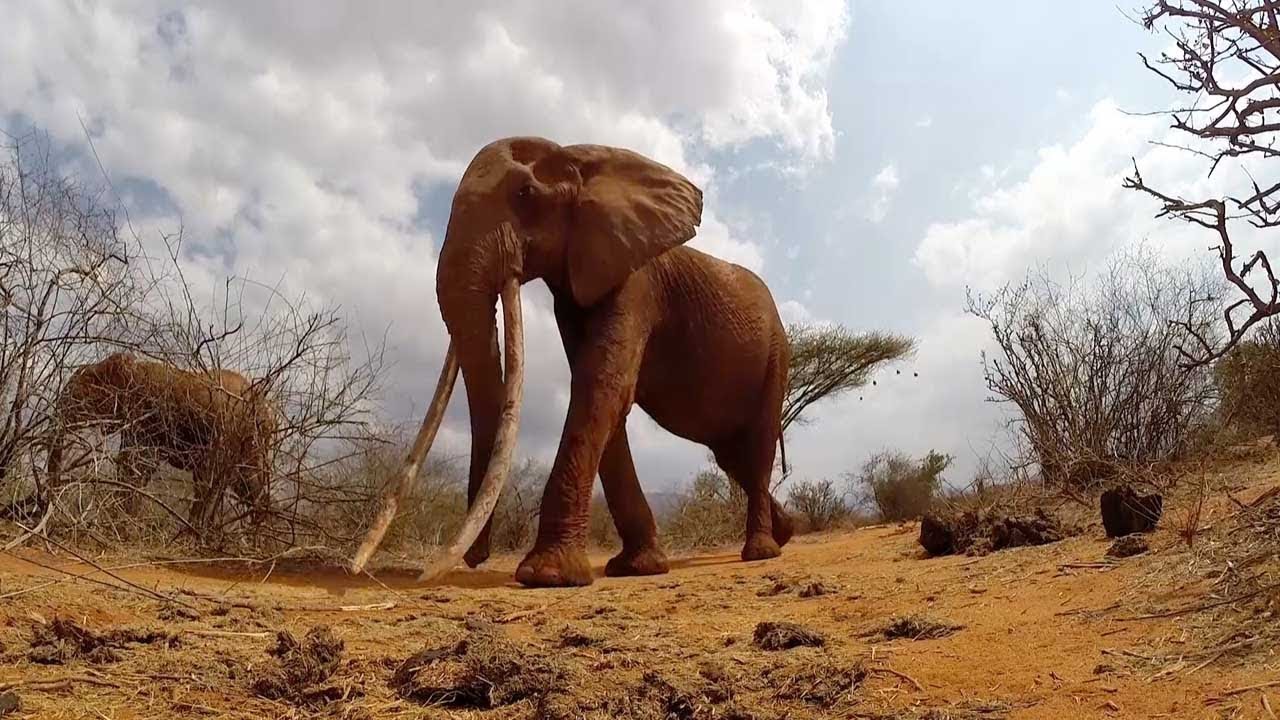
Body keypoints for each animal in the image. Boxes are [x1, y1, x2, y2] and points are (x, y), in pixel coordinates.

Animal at [45, 351, 280, 531]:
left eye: (81, 392)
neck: (134, 366)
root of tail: (266, 410)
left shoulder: (147, 414)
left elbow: (136, 464)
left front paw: (121, 523)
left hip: (233, 432)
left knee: (213, 480)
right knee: (243, 482)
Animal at [352, 136, 794, 587]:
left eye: (524, 194)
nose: (476, 558)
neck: (580, 155)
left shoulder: (636, 283)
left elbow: (602, 385)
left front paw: (547, 575)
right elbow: (605, 396)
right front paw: (637, 568)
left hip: (777, 354)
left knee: (757, 444)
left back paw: (761, 552)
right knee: (732, 457)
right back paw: (787, 531)